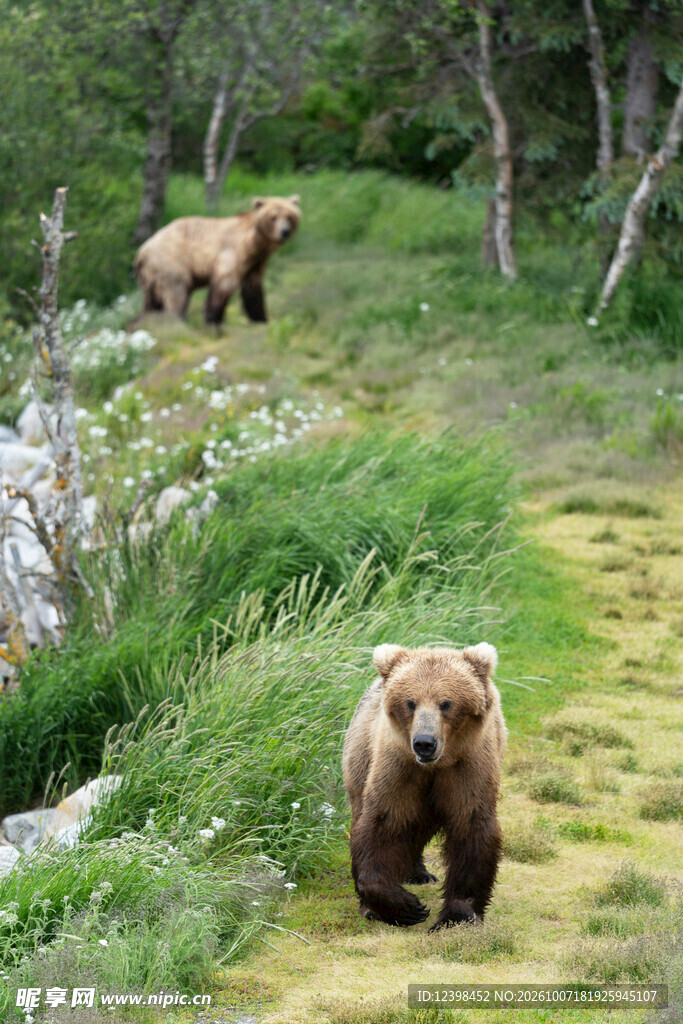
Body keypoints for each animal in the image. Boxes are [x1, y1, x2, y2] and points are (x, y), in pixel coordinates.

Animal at [133, 195, 301, 325]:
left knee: (150, 304)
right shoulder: (233, 252)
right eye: (273, 217)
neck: (254, 243)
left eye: (289, 216)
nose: (284, 231)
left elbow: (252, 289)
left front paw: (261, 318)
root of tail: (141, 251)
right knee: (176, 295)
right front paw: (212, 318)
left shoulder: (255, 263)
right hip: (170, 263)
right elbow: (224, 284)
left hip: (150, 277)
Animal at [342, 642, 505, 931]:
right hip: (360, 759)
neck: (437, 765)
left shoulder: (469, 767)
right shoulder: (398, 767)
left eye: (446, 703)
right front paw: (406, 907)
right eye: (410, 702)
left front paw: (458, 915)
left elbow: (472, 826)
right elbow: (382, 824)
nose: (424, 743)